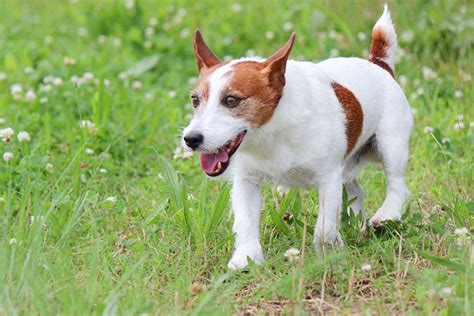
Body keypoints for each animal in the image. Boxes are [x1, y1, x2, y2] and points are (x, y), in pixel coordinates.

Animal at [183, 5, 412, 270]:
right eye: (195, 100)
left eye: (231, 100)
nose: (191, 139)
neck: (271, 132)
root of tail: (378, 63)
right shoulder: (246, 181)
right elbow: (246, 222)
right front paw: (245, 259)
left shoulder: (327, 179)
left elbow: (324, 228)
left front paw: (328, 254)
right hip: (347, 166)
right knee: (356, 190)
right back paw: (357, 224)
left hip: (390, 144)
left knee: (397, 184)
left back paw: (386, 215)